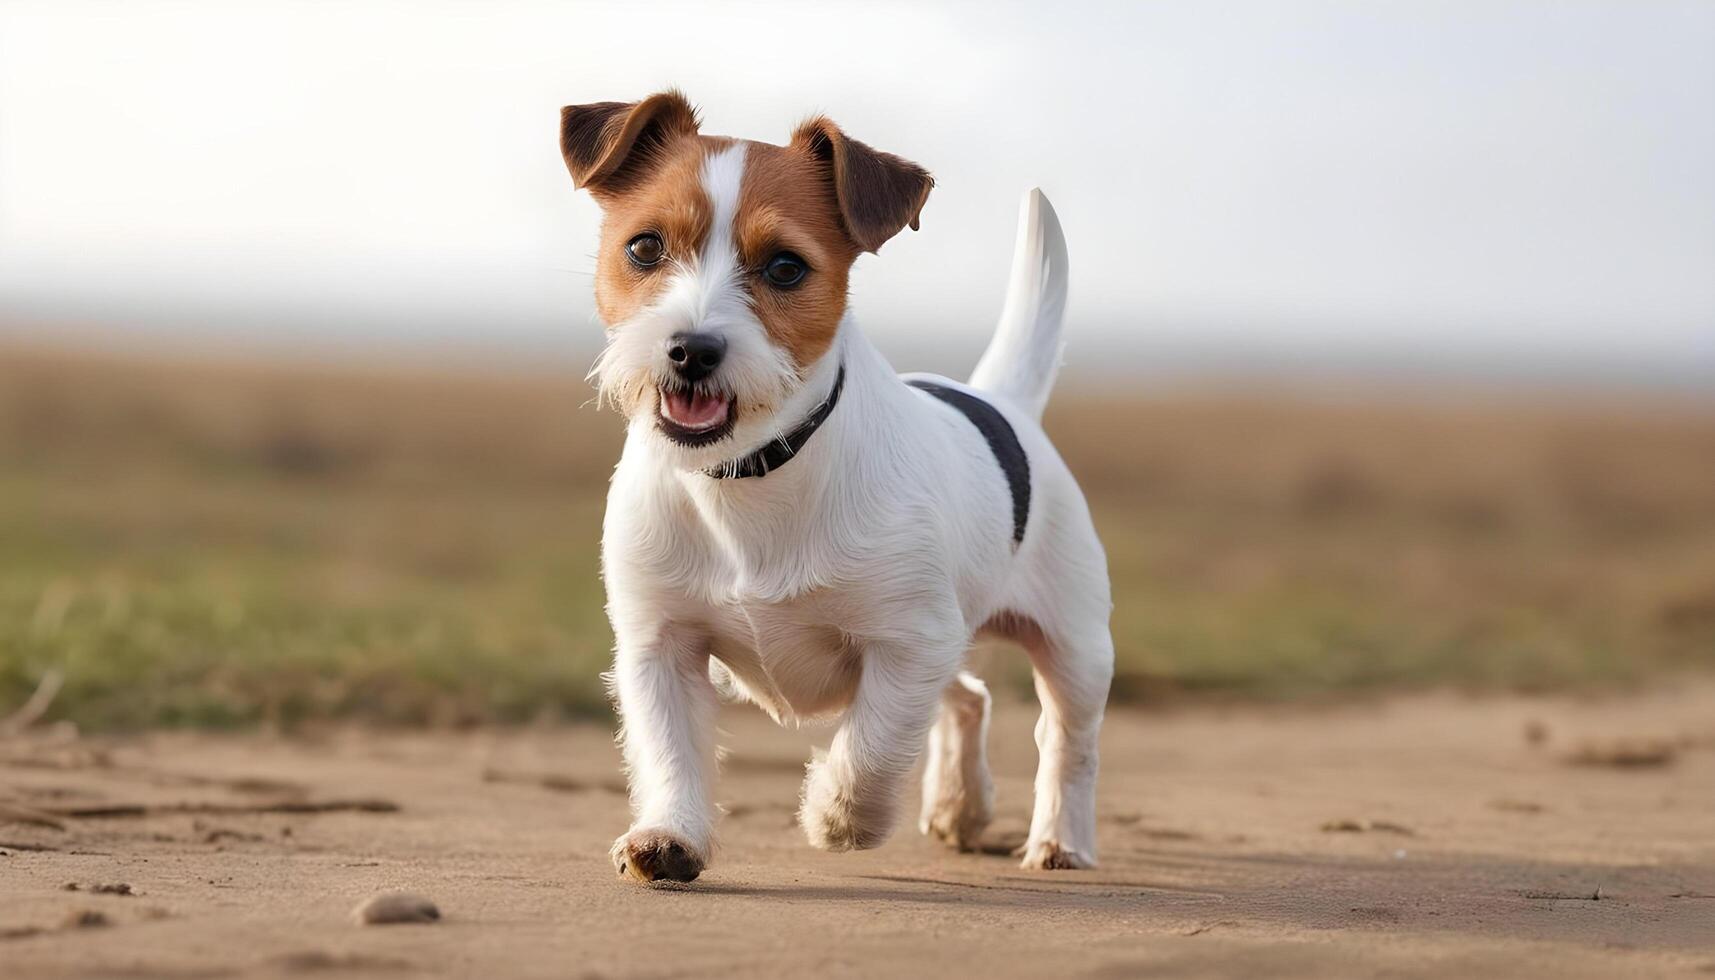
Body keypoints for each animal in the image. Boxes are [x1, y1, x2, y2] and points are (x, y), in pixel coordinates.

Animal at [562, 91, 1118, 885]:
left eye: (785, 267)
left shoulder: (908, 642)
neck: (752, 474)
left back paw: (1059, 839)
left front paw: (838, 815)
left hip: (1073, 646)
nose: (691, 350)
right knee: (967, 697)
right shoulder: (658, 644)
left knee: (1067, 741)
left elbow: (874, 748)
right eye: (643, 248)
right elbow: (671, 749)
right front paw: (669, 835)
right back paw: (959, 806)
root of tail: (1001, 399)